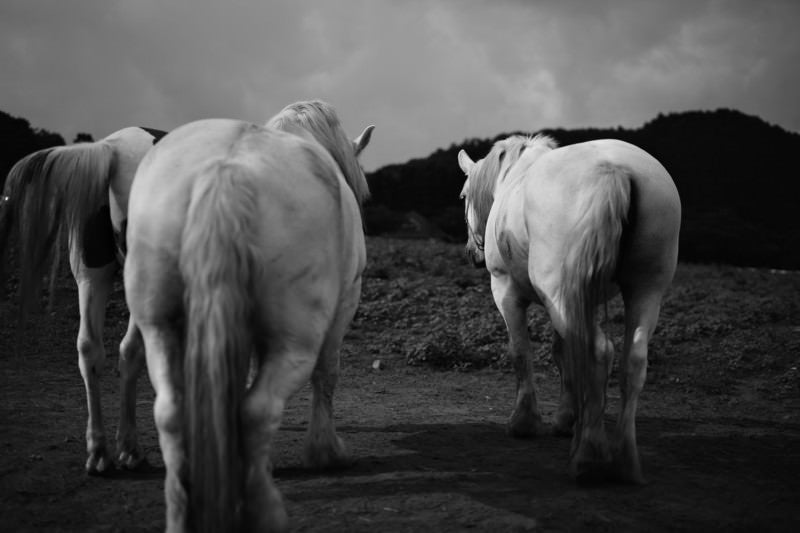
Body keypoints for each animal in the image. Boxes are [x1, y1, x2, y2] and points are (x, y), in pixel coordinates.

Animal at [0, 125, 166, 474]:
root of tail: (111, 149)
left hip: (92, 276)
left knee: (91, 349)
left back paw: (101, 452)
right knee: (131, 350)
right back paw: (130, 450)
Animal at [125, 101, 376, 532]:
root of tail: (226, 173)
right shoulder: (345, 303)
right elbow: (327, 374)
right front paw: (326, 452)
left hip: (158, 329)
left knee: (171, 411)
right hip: (296, 340)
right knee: (258, 410)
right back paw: (265, 511)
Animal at [456, 134, 680, 482]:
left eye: (464, 195)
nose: (472, 253)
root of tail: (613, 169)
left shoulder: (506, 291)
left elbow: (521, 352)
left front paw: (525, 422)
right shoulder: (572, 301)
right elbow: (564, 353)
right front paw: (566, 418)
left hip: (559, 291)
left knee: (600, 352)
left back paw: (589, 454)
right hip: (645, 290)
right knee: (633, 360)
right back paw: (623, 459)